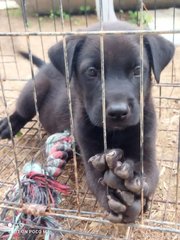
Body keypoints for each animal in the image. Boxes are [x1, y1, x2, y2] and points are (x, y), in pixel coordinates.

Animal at [0, 21, 174, 222]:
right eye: (92, 72)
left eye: (138, 70)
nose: (117, 112)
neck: (115, 131)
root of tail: (46, 65)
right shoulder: (91, 151)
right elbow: (98, 181)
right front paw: (116, 193)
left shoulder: (146, 146)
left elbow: (149, 177)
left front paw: (134, 190)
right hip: (33, 91)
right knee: (21, 111)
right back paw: (8, 126)